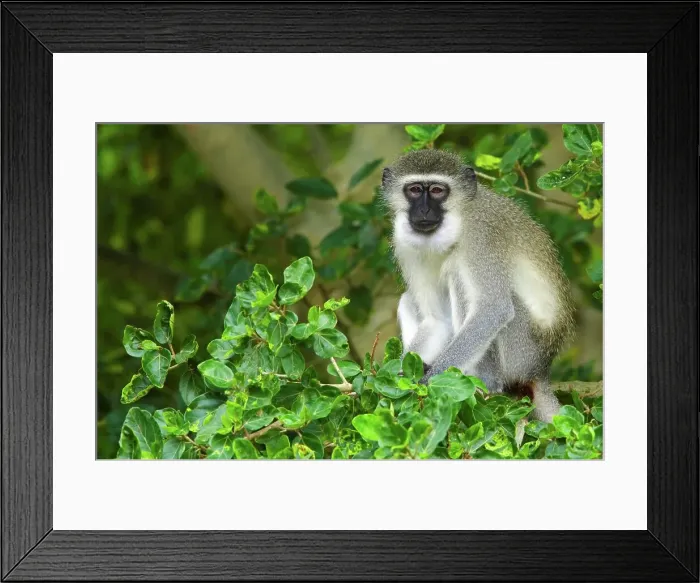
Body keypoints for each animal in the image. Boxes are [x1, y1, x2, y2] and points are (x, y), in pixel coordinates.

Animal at [381, 148, 576, 422]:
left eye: (438, 191)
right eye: (415, 190)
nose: (424, 211)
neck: (458, 216)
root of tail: (540, 370)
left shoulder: (481, 236)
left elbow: (493, 310)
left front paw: (430, 381)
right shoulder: (404, 242)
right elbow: (436, 320)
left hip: (521, 350)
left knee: (460, 277)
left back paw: (484, 383)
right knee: (409, 300)